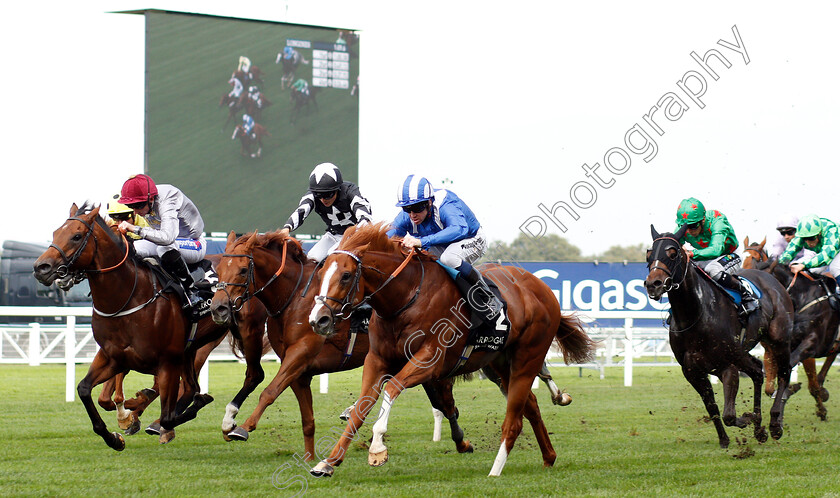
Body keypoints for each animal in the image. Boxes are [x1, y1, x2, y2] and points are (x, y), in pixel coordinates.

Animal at [32, 204, 230, 450]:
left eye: (76, 236)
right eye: (55, 233)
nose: (41, 267)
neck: (128, 297)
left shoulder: (166, 361)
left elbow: (167, 415)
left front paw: (137, 414)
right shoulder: (113, 356)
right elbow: (86, 390)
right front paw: (115, 436)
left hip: (204, 345)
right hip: (188, 351)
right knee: (190, 387)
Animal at [209, 231, 472, 462]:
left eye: (243, 270)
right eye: (218, 270)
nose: (218, 308)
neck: (294, 297)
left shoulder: (300, 354)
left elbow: (270, 391)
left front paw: (241, 427)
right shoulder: (298, 369)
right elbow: (307, 419)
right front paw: (310, 459)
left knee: (442, 399)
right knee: (443, 401)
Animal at [306, 224, 592, 476]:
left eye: (345, 275)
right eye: (320, 275)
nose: (318, 319)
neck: (407, 298)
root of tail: (541, 287)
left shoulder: (429, 363)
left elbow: (392, 387)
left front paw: (377, 448)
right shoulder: (377, 361)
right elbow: (360, 409)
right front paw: (328, 462)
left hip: (528, 358)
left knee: (515, 419)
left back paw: (495, 471)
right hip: (499, 362)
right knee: (530, 406)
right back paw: (548, 457)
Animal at [644, 226, 796, 448]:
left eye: (673, 253)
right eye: (649, 254)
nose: (653, 284)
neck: (696, 315)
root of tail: (771, 279)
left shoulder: (727, 366)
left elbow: (729, 415)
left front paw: (747, 418)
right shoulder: (693, 371)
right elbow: (713, 408)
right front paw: (725, 439)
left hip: (778, 340)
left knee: (784, 372)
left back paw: (775, 424)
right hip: (741, 353)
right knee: (757, 371)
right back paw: (759, 428)